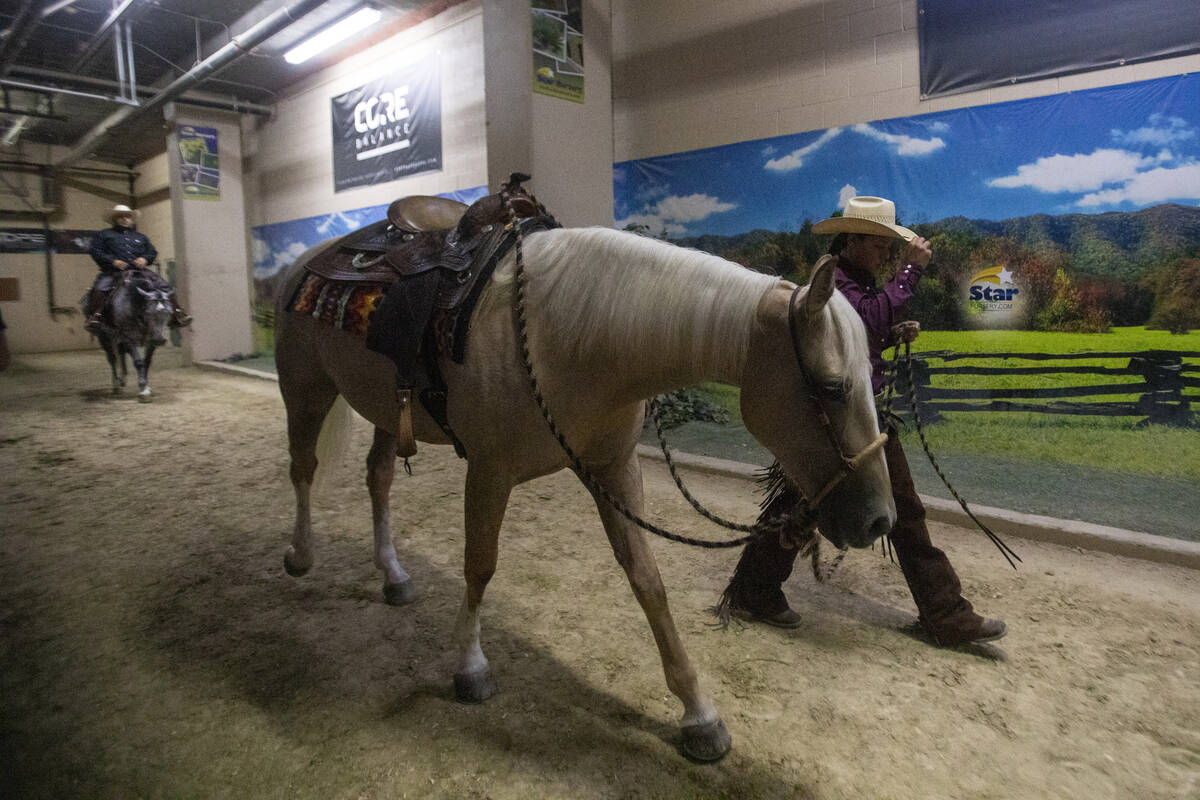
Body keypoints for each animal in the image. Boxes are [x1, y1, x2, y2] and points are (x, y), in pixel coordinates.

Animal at [90, 268, 174, 402]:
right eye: (149, 313)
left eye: (169, 313)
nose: (160, 339)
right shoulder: (128, 338)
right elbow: (138, 362)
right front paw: (143, 391)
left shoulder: (150, 341)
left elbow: (146, 362)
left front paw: (146, 387)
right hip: (103, 336)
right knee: (112, 358)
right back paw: (116, 386)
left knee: (120, 354)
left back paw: (122, 380)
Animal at [270, 225, 892, 762]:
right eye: (831, 387)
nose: (878, 522)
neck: (567, 339)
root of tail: (308, 261)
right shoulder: (489, 472)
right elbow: (480, 565)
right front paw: (471, 665)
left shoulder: (613, 470)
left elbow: (648, 582)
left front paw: (698, 714)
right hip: (306, 390)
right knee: (303, 468)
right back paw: (300, 554)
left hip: (382, 410)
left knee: (377, 477)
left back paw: (393, 575)